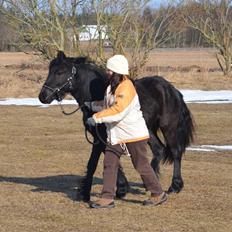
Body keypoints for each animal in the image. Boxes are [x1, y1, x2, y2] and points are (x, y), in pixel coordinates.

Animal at [38, 50, 194, 201]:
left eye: (60, 72)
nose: (42, 96)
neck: (97, 94)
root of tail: (171, 89)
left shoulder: (99, 138)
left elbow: (93, 163)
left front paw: (85, 194)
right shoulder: (100, 138)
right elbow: (106, 160)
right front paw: (121, 189)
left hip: (169, 127)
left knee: (175, 152)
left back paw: (175, 186)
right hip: (148, 130)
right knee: (159, 149)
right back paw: (150, 182)